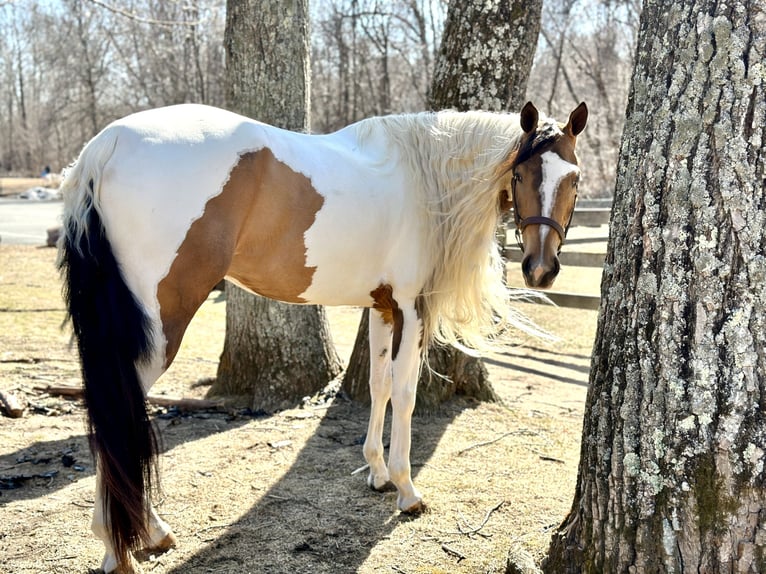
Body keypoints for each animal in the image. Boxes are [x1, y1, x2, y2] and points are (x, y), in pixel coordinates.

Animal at [60, 101, 588, 572]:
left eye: (574, 178)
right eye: (520, 175)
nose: (541, 270)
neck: (424, 180)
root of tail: (105, 145)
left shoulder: (382, 307)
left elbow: (378, 386)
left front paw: (377, 473)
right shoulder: (411, 308)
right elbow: (405, 393)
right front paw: (406, 490)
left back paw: (139, 535)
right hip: (156, 331)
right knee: (120, 415)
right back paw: (123, 545)